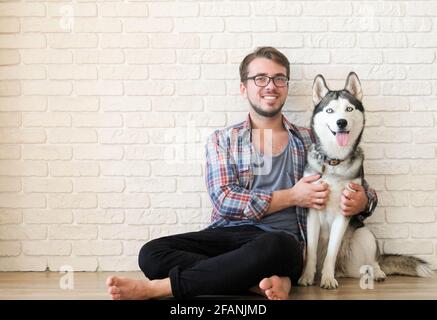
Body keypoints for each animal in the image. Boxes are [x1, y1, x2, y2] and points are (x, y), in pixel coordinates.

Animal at [296, 72, 432, 290]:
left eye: (349, 109)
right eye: (330, 110)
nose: (341, 122)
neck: (334, 162)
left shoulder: (344, 209)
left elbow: (332, 251)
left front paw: (327, 279)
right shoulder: (313, 210)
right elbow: (311, 253)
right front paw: (306, 277)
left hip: (365, 236)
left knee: (372, 260)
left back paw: (376, 272)